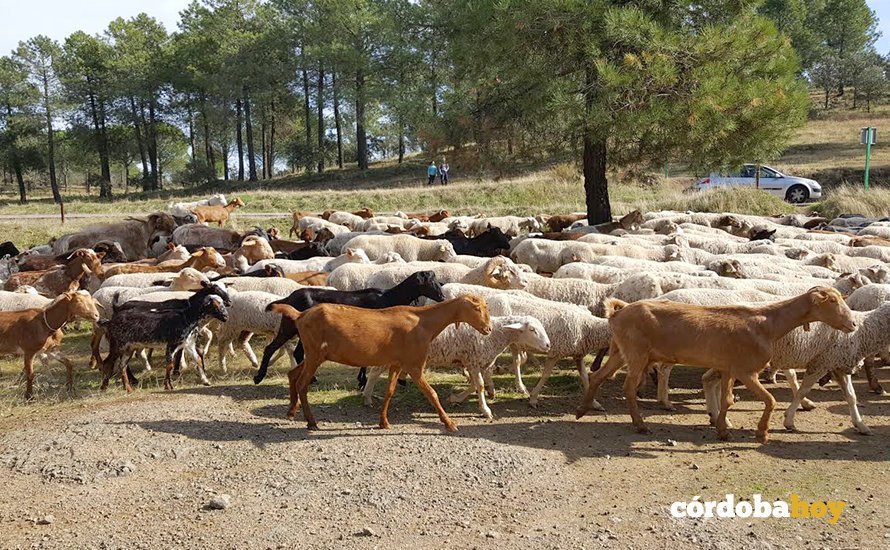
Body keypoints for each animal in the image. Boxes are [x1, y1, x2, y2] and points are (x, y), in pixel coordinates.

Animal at [272, 294, 491, 432]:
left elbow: (390, 391)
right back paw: (311, 422)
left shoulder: (397, 363)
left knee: (293, 374)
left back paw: (291, 411)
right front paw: (449, 424)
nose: (488, 329)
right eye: (476, 308)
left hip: (315, 355)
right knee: (302, 383)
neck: (423, 323)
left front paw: (383, 422)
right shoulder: (414, 365)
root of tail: (301, 315)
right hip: (314, 353)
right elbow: (432, 393)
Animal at [362, 315, 551, 418]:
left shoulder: (474, 362)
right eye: (533, 330)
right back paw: (367, 398)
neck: (495, 334)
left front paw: (456, 398)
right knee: (373, 373)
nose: (548, 345)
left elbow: (475, 385)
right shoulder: (473, 361)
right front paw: (485, 410)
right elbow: (480, 385)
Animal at [575, 287, 856, 443]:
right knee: (627, 388)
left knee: (598, 375)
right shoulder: (746, 370)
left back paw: (582, 409)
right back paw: (640, 425)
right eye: (832, 301)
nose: (852, 324)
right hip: (636, 354)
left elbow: (727, 400)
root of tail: (617, 312)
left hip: (620, 352)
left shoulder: (729, 368)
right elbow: (770, 400)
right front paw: (762, 433)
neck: (767, 325)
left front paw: (722, 429)